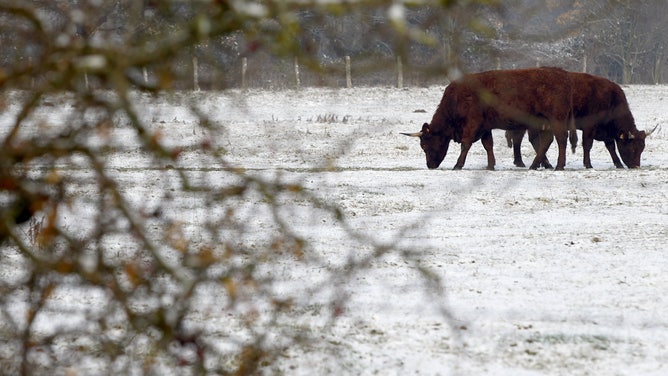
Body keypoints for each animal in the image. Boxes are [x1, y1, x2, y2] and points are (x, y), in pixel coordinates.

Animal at [402, 67, 576, 170]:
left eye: (424, 145)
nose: (430, 165)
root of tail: (561, 73)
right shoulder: (484, 127)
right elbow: (488, 145)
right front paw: (491, 165)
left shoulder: (472, 124)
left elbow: (465, 144)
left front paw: (458, 165)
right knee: (546, 141)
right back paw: (535, 165)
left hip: (556, 119)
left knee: (561, 139)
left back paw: (559, 165)